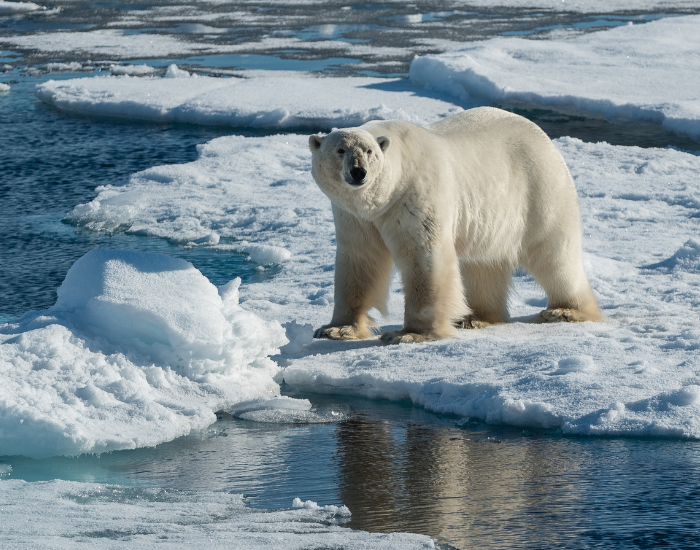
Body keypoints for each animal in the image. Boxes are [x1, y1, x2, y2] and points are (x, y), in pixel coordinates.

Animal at [309, 107, 601, 344]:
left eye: (369, 152)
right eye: (340, 150)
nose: (358, 172)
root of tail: (543, 136)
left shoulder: (415, 196)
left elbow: (425, 258)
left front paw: (409, 334)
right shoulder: (355, 217)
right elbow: (360, 260)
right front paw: (337, 329)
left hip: (539, 190)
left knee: (554, 254)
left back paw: (565, 310)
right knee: (484, 263)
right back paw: (476, 317)